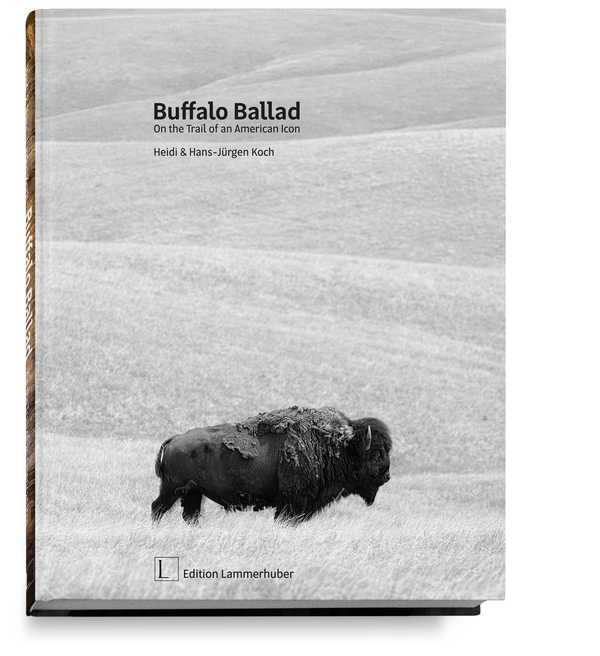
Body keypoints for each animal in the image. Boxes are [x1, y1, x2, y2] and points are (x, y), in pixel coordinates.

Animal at [151, 406, 391, 524]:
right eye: (377, 452)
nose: (387, 475)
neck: (338, 445)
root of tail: (174, 439)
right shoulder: (290, 504)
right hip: (172, 489)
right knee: (157, 508)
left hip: (193, 492)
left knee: (189, 515)